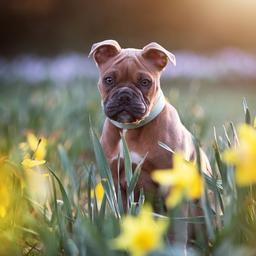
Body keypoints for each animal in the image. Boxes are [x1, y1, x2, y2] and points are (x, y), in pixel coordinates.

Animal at [89, 40, 211, 246]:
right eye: (109, 80)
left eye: (145, 82)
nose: (124, 95)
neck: (130, 129)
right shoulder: (117, 184)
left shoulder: (172, 186)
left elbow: (177, 229)